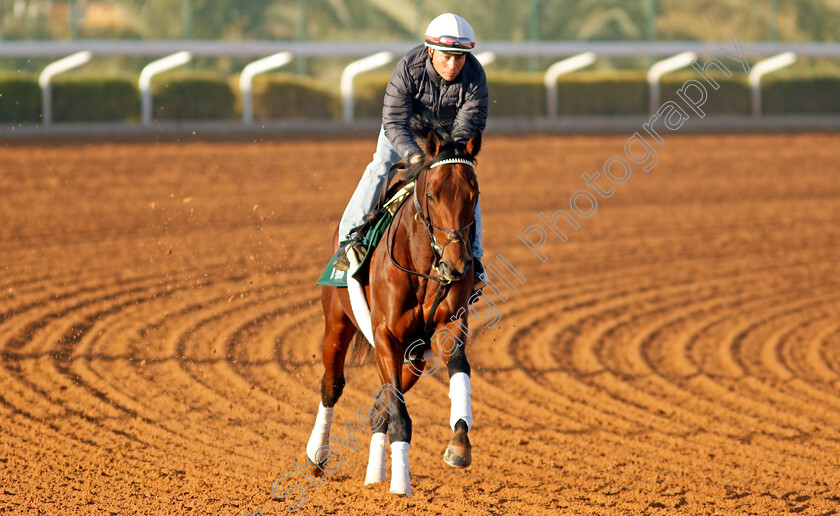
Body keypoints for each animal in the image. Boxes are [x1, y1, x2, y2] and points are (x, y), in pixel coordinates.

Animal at [306, 120, 482, 496]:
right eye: (433, 194)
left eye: (473, 195)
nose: (458, 263)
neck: (424, 266)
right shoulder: (385, 335)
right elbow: (398, 413)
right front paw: (401, 486)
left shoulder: (447, 327)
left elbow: (458, 367)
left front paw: (459, 444)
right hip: (337, 321)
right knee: (332, 385)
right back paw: (317, 455)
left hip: (414, 358)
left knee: (380, 405)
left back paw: (374, 476)